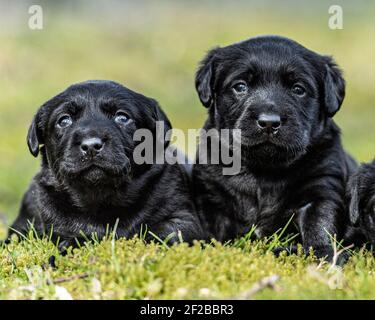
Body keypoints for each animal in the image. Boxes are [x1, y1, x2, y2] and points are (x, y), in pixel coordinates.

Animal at [6, 79, 206, 251]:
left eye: (122, 117)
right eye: (64, 120)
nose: (91, 145)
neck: (101, 197)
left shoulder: (182, 216)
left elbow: (168, 232)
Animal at [194, 35, 358, 260]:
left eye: (298, 89)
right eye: (240, 86)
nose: (269, 122)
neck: (264, 170)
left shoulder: (321, 186)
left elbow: (319, 222)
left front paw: (322, 251)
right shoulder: (211, 195)